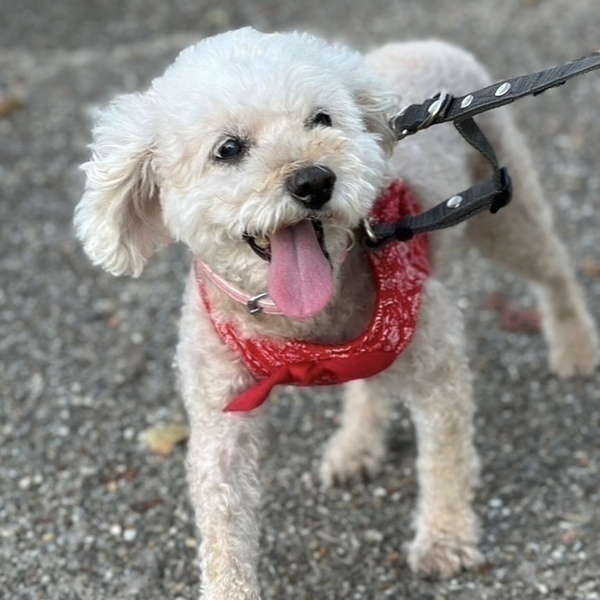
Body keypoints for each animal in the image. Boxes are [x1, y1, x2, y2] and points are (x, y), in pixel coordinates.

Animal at [74, 27, 598, 599]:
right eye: (228, 149)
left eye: (321, 119)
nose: (313, 181)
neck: (300, 319)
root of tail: (424, 42)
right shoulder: (218, 417)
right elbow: (223, 522)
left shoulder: (438, 364)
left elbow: (445, 459)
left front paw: (445, 537)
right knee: (369, 380)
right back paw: (356, 446)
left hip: (504, 212)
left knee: (554, 269)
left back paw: (576, 344)